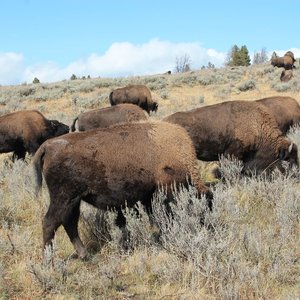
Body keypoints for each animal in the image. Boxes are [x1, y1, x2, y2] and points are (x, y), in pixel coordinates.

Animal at [32, 120, 211, 258]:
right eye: (206, 207)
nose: (210, 228)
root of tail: (48, 146)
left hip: (73, 200)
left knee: (69, 222)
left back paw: (85, 255)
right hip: (64, 198)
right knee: (50, 222)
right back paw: (49, 261)